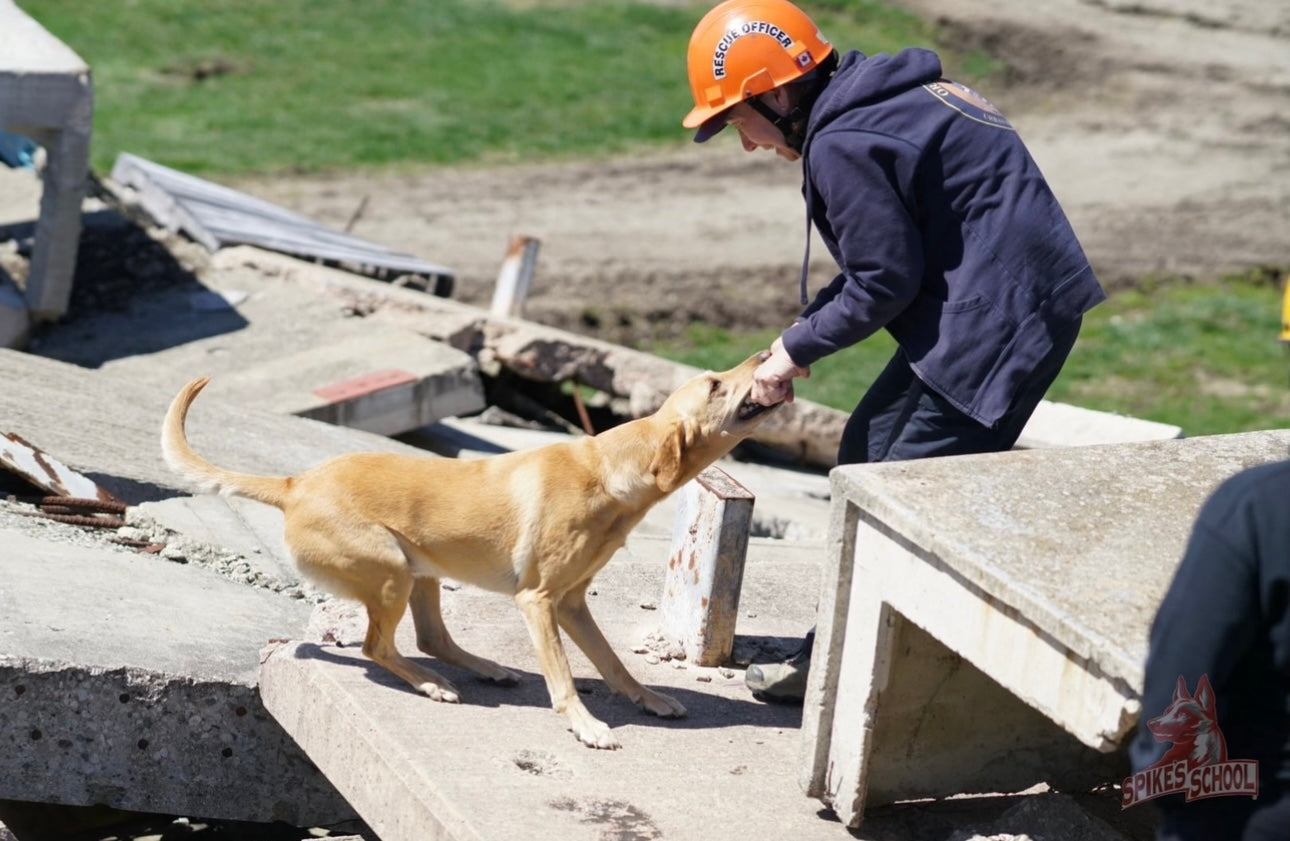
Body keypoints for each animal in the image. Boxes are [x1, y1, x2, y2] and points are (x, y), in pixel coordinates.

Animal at [165, 350, 779, 748]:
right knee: (378, 647)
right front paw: (585, 725)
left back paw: (483, 668)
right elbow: (563, 677)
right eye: (715, 384)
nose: (768, 352)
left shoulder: (572, 602)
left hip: (421, 571)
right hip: (391, 570)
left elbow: (611, 662)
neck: (610, 467)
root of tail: (294, 484)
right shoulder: (539, 602)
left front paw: (647, 698)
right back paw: (432, 685)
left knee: (430, 639)